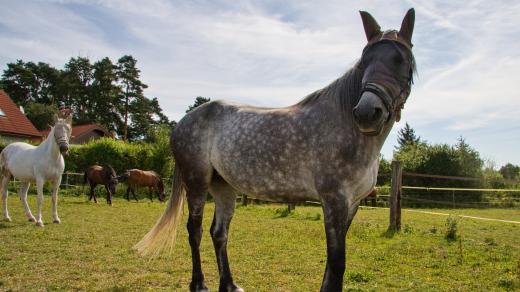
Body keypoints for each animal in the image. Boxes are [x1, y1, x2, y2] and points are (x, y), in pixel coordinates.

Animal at [136, 8, 416, 290]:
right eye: (364, 62)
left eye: (400, 60)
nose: (367, 113)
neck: (345, 123)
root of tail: (182, 122)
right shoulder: (334, 201)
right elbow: (337, 263)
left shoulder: (352, 204)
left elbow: (331, 266)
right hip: (197, 182)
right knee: (195, 231)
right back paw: (199, 284)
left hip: (223, 186)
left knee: (219, 233)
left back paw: (230, 284)